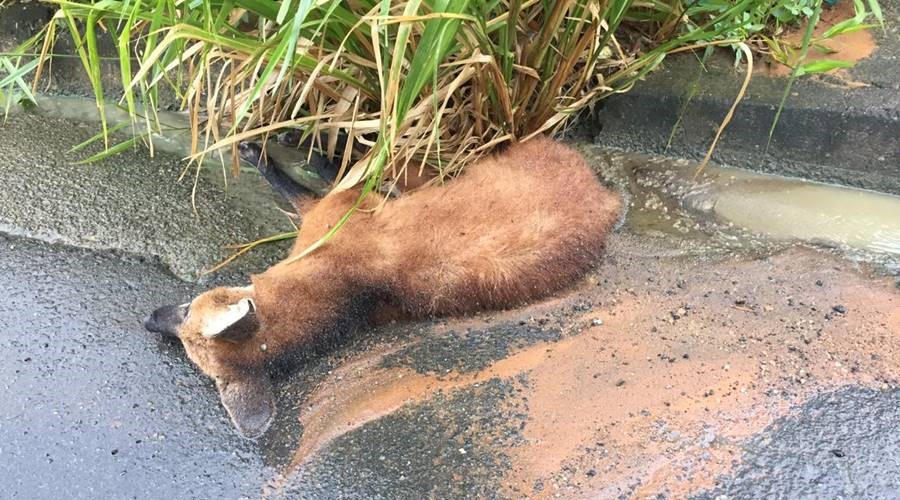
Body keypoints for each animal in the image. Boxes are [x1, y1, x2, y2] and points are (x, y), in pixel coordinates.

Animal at [144, 137, 624, 438]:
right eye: (182, 332)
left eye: (186, 310)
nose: (149, 320)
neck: (350, 294)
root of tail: (606, 199)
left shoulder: (333, 210)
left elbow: (308, 188)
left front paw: (259, 152)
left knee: (401, 164)